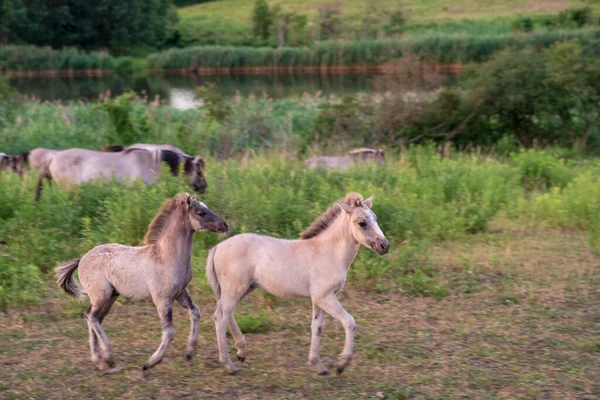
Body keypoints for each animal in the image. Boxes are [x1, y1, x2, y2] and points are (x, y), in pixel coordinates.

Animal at [55, 194, 230, 372]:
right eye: (201, 212)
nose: (224, 225)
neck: (165, 257)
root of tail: (82, 259)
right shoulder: (162, 299)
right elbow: (169, 332)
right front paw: (150, 363)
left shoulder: (181, 293)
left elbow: (195, 313)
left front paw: (189, 353)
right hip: (101, 296)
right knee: (91, 316)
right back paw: (107, 357)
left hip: (110, 297)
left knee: (95, 317)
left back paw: (99, 361)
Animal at [206, 193, 392, 376]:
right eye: (362, 223)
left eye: (375, 218)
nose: (384, 245)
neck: (328, 252)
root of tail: (217, 247)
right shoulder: (324, 297)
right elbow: (349, 322)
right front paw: (341, 365)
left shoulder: (318, 299)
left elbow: (317, 327)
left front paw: (318, 365)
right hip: (235, 289)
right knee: (220, 317)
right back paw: (229, 365)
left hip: (242, 289)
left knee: (226, 313)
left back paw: (241, 352)